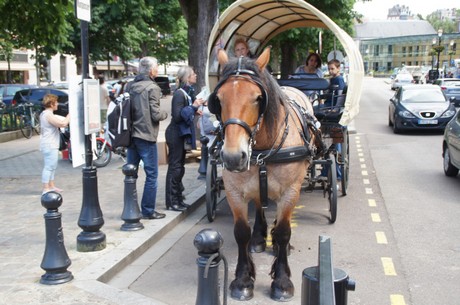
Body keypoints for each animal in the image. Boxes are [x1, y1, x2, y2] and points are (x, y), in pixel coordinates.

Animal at [208, 48, 320, 300]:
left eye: (258, 98)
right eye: (218, 100)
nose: (232, 157)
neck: (264, 148)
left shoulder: (290, 191)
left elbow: (284, 231)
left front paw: (282, 281)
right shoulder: (234, 191)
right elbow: (241, 232)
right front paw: (242, 280)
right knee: (259, 204)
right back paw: (259, 237)